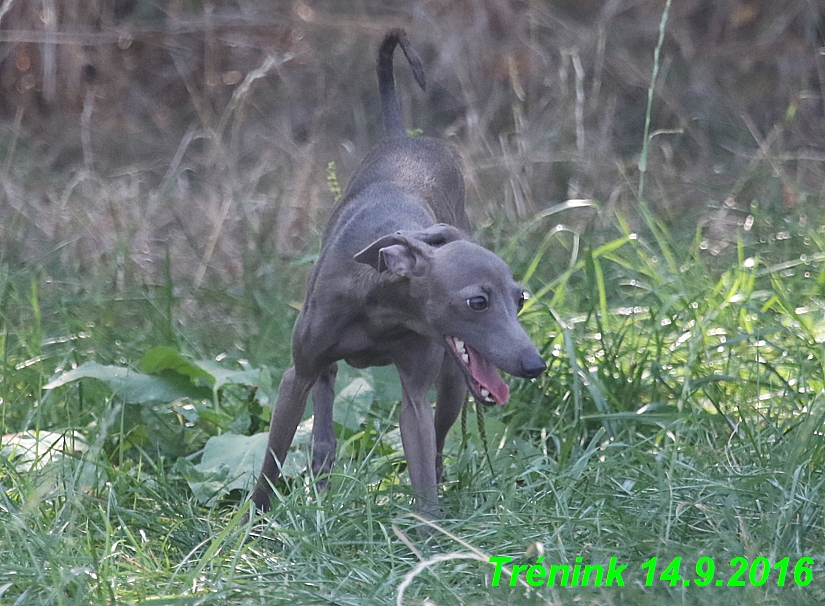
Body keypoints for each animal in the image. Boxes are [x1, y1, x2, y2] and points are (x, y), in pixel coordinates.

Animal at [251, 29, 548, 516]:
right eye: (478, 301)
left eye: (520, 299)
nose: (535, 365)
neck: (381, 303)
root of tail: (402, 134)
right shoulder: (296, 375)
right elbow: (272, 459)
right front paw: (252, 522)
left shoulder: (415, 394)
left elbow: (422, 466)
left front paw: (432, 531)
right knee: (325, 406)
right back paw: (321, 471)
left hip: (453, 383)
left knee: (440, 441)